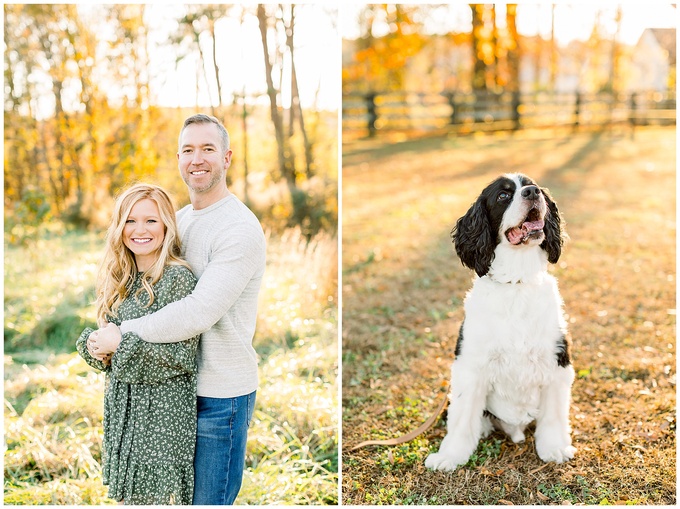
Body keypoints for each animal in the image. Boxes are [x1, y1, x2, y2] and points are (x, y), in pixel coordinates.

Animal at [428, 173, 576, 470]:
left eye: (534, 186)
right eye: (503, 196)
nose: (532, 193)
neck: (516, 283)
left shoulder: (557, 362)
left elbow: (554, 415)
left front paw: (554, 448)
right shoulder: (470, 366)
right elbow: (462, 419)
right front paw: (450, 456)